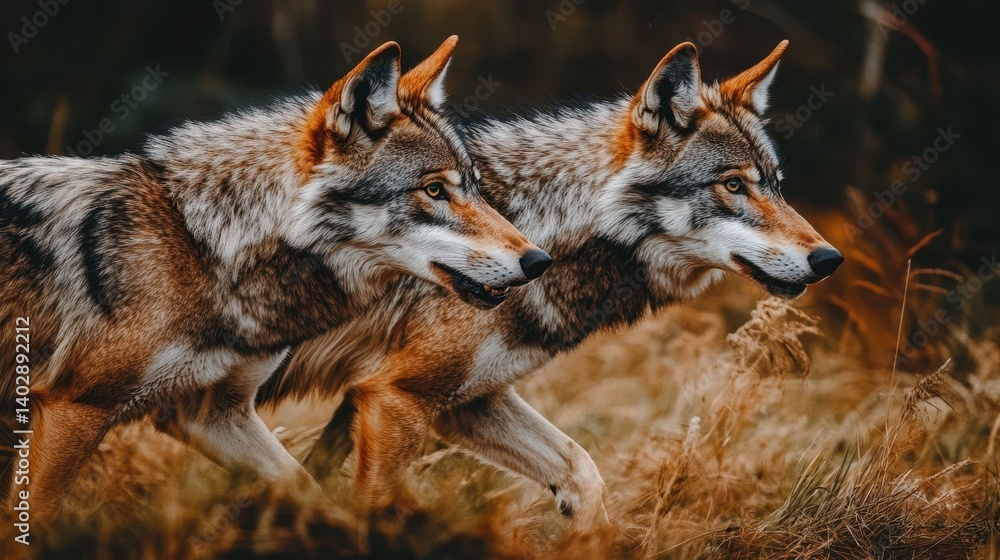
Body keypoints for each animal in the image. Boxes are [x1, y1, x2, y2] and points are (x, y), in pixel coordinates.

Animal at [0, 37, 551, 518]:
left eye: (476, 188)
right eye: (434, 190)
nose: (539, 261)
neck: (201, 245)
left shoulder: (209, 415)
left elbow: (310, 490)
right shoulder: (74, 406)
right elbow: (37, 519)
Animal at [264, 39, 844, 529]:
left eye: (777, 186)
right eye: (733, 185)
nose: (829, 258)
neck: (543, 232)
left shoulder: (463, 404)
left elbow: (584, 472)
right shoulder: (396, 397)